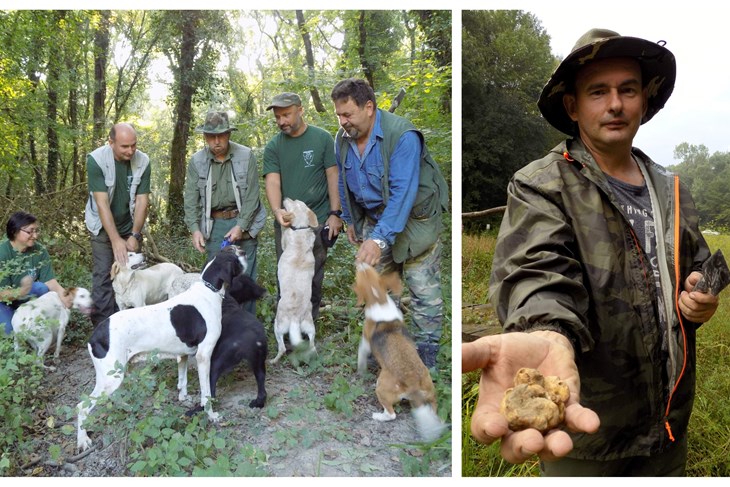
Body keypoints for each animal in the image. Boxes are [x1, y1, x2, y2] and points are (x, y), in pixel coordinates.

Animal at [76, 250, 246, 452]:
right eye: (235, 257)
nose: (244, 252)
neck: (208, 290)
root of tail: (95, 335)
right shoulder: (204, 357)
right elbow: (207, 394)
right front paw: (211, 415)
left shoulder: (183, 355)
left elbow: (182, 381)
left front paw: (183, 398)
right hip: (111, 379)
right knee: (82, 406)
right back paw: (83, 440)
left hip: (118, 373)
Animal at [268, 199, 318, 366]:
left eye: (294, 201)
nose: (285, 198)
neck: (300, 229)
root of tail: (295, 318)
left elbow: (285, 231)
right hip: (310, 326)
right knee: (312, 345)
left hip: (277, 325)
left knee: (282, 348)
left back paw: (273, 361)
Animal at [352, 264, 444, 442]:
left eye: (360, 273)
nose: (361, 263)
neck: (378, 298)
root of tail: (412, 383)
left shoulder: (365, 342)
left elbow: (361, 356)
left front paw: (360, 370)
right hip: (430, 391)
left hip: (381, 388)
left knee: (391, 414)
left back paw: (378, 416)